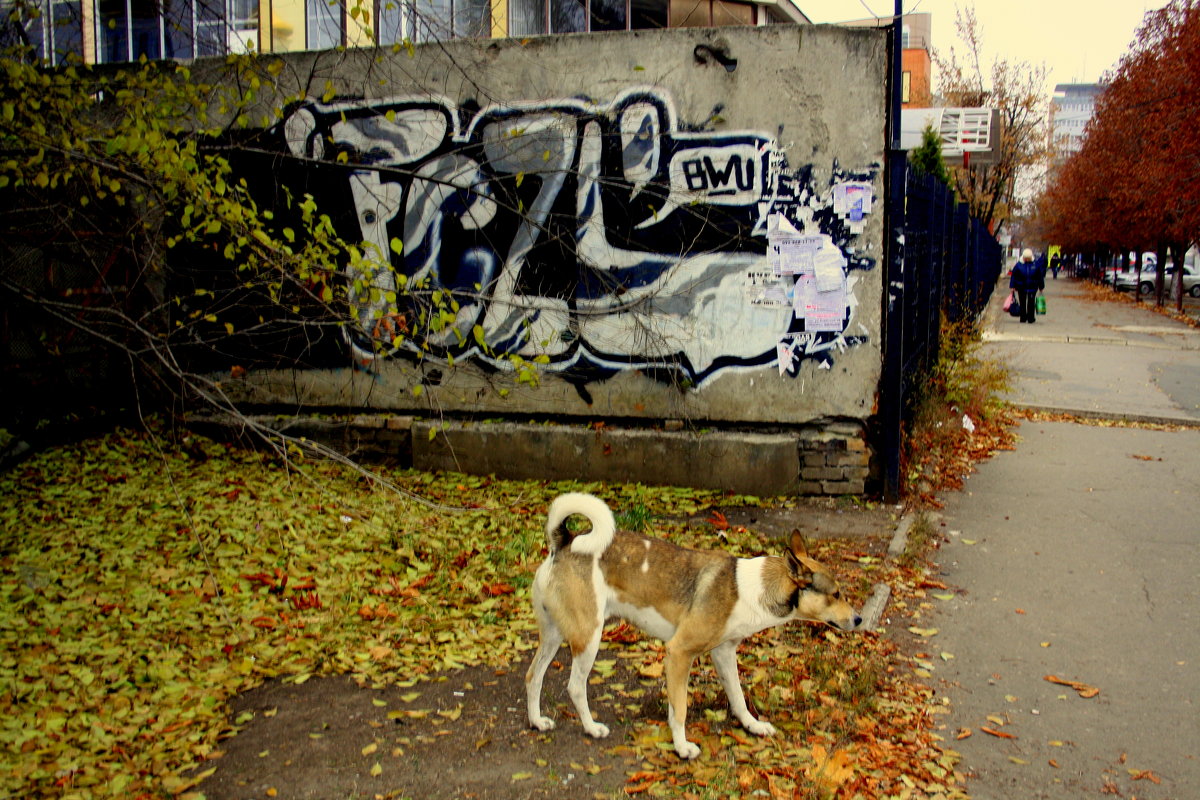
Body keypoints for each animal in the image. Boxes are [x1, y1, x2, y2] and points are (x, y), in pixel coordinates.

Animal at [525, 491, 864, 762]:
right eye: (836, 594)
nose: (859, 619)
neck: (751, 589)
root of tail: (565, 542)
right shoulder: (679, 653)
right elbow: (680, 709)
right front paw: (682, 747)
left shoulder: (724, 654)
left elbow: (738, 698)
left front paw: (752, 725)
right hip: (589, 637)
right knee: (574, 686)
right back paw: (591, 728)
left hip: (554, 636)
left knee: (533, 676)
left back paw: (537, 721)